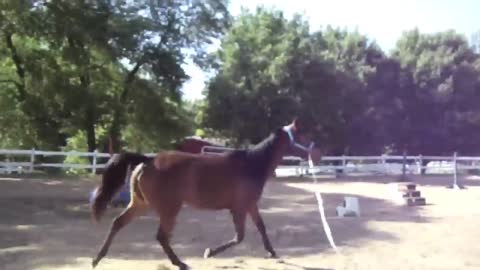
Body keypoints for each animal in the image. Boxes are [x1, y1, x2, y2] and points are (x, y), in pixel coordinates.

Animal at [90, 118, 316, 270]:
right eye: (302, 136)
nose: (317, 152)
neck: (251, 165)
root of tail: (148, 160)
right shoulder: (239, 208)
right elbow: (239, 236)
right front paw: (210, 252)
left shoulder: (251, 205)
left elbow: (261, 228)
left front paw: (272, 252)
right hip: (169, 208)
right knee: (161, 236)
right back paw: (180, 263)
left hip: (141, 204)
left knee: (118, 223)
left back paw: (97, 259)